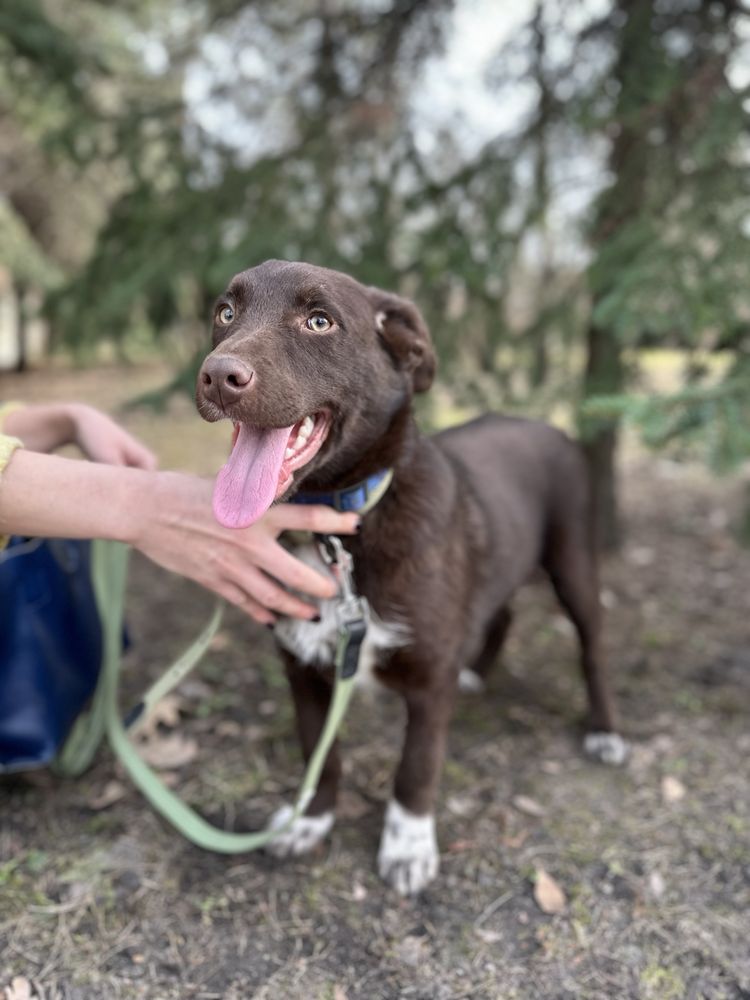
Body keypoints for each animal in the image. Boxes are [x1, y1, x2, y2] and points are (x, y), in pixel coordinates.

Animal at [197, 262, 624, 896]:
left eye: (319, 321)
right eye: (226, 313)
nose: (218, 376)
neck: (343, 533)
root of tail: (544, 424)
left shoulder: (427, 682)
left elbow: (416, 767)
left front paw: (407, 845)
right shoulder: (303, 668)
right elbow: (319, 754)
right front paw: (310, 822)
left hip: (574, 563)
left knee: (593, 647)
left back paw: (603, 729)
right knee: (503, 612)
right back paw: (476, 671)